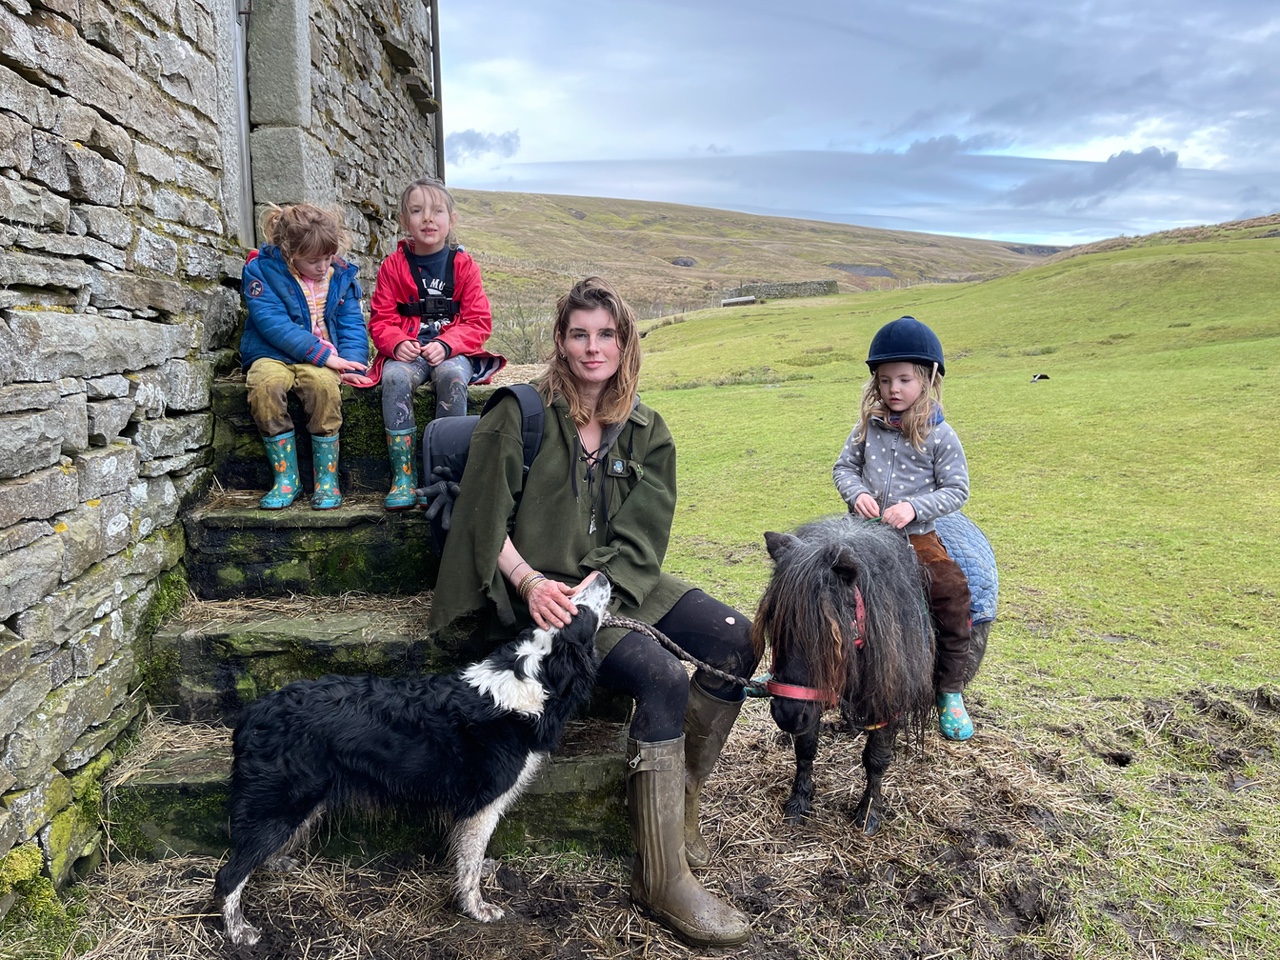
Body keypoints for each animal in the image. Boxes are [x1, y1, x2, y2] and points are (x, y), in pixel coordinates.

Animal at [212, 576, 611, 942]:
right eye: (577, 608)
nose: (602, 575)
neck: (530, 676)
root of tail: (253, 712)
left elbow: (468, 856)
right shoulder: (482, 805)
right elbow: (469, 865)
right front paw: (477, 909)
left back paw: (275, 862)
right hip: (283, 800)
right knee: (229, 874)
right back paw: (239, 931)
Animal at [752, 519, 936, 834]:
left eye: (831, 632)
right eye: (774, 618)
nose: (787, 715)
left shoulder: (887, 698)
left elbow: (876, 759)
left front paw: (869, 813)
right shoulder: (810, 704)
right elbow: (806, 748)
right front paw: (799, 800)